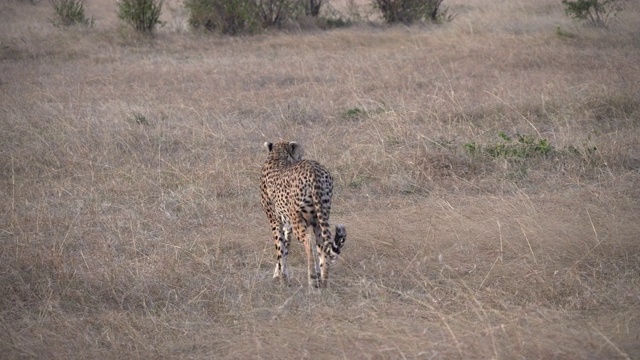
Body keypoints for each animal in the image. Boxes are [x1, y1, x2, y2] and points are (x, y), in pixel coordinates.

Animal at [260, 140, 348, 286]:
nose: (301, 157)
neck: (278, 155)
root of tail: (313, 170)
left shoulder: (276, 222)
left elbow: (280, 249)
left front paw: (281, 278)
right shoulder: (287, 224)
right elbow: (285, 248)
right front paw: (280, 274)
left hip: (300, 221)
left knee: (308, 241)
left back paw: (312, 277)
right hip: (320, 219)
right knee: (322, 245)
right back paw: (323, 280)